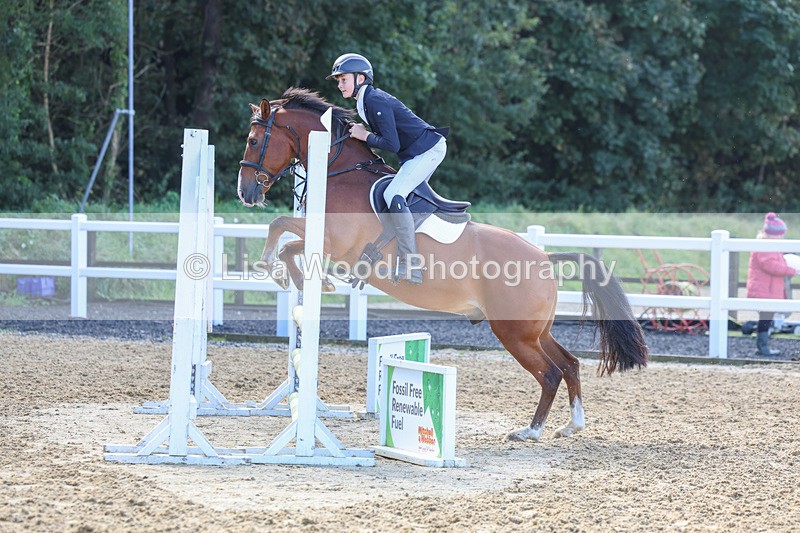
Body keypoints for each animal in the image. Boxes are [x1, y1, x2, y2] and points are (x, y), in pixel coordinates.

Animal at [237, 87, 648, 442]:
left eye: (254, 141)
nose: (246, 193)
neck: (340, 173)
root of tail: (545, 257)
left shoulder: (335, 244)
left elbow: (281, 229)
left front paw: (280, 270)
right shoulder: (326, 242)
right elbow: (288, 239)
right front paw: (299, 279)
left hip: (514, 333)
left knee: (549, 374)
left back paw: (530, 431)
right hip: (535, 331)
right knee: (569, 364)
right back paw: (571, 425)